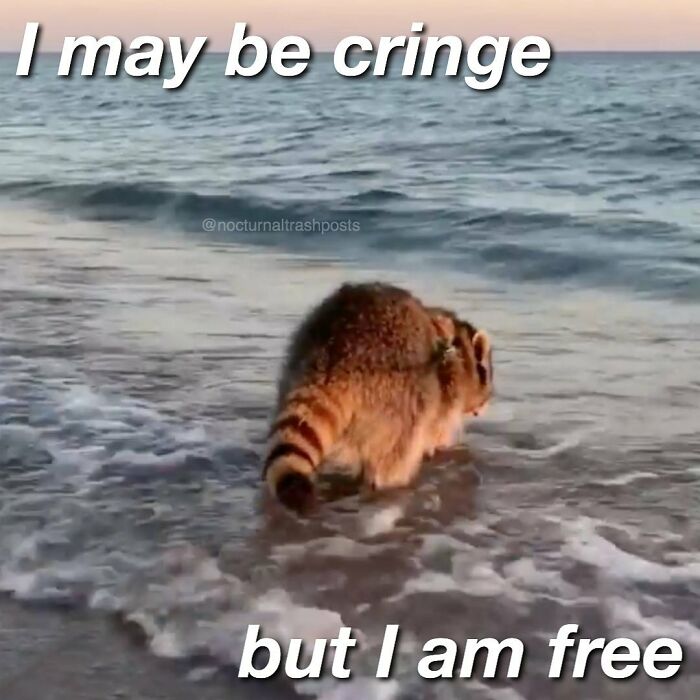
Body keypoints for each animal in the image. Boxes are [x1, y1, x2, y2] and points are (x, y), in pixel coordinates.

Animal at [264, 283, 493, 512]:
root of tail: (332, 358)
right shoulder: (446, 391)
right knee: (396, 453)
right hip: (398, 395)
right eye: (486, 375)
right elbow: (436, 429)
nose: (485, 404)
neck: (459, 346)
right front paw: (436, 449)